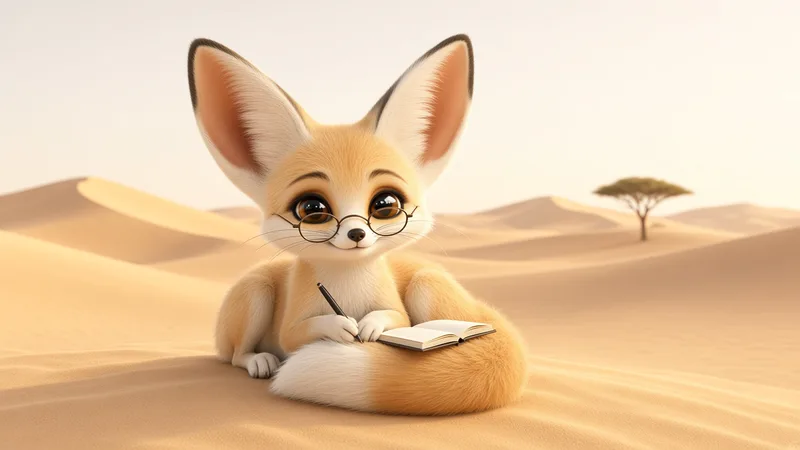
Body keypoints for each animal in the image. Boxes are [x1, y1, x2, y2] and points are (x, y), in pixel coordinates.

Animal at [186, 34, 528, 415]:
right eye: (311, 208)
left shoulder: (396, 307)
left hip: (426, 285)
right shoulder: (292, 324)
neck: (348, 282)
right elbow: (299, 332)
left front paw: (370, 326)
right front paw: (339, 326)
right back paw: (260, 360)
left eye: (386, 204)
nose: (356, 233)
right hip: (254, 295)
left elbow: (396, 319)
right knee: (234, 355)